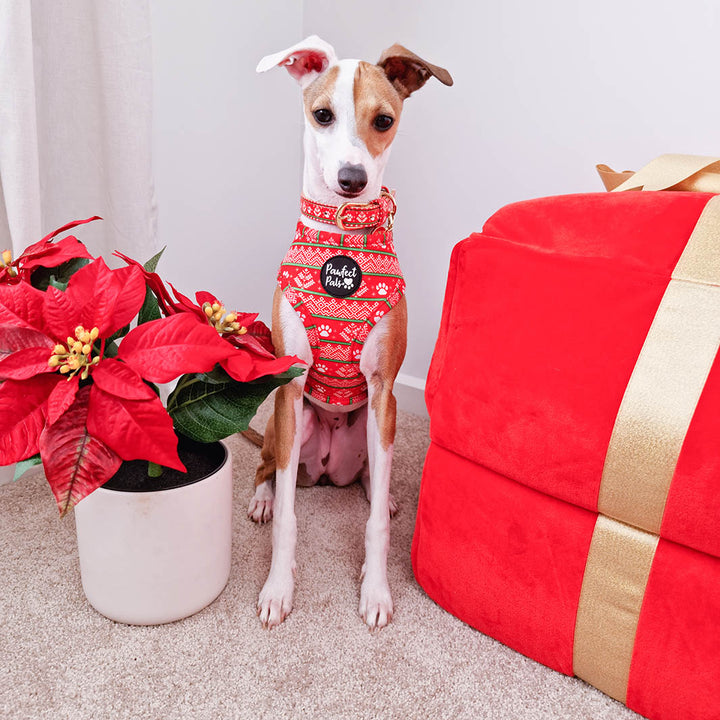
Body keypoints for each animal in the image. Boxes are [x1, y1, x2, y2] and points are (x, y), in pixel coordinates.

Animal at [248, 36, 450, 628]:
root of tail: (327, 471)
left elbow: (376, 526)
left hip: (376, 428)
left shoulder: (384, 392)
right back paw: (263, 498)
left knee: (373, 479)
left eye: (383, 120)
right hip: (285, 426)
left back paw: (381, 493)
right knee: (270, 468)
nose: (352, 180)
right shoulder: (291, 387)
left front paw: (376, 590)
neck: (342, 242)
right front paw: (278, 588)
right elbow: (290, 520)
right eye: (323, 115)